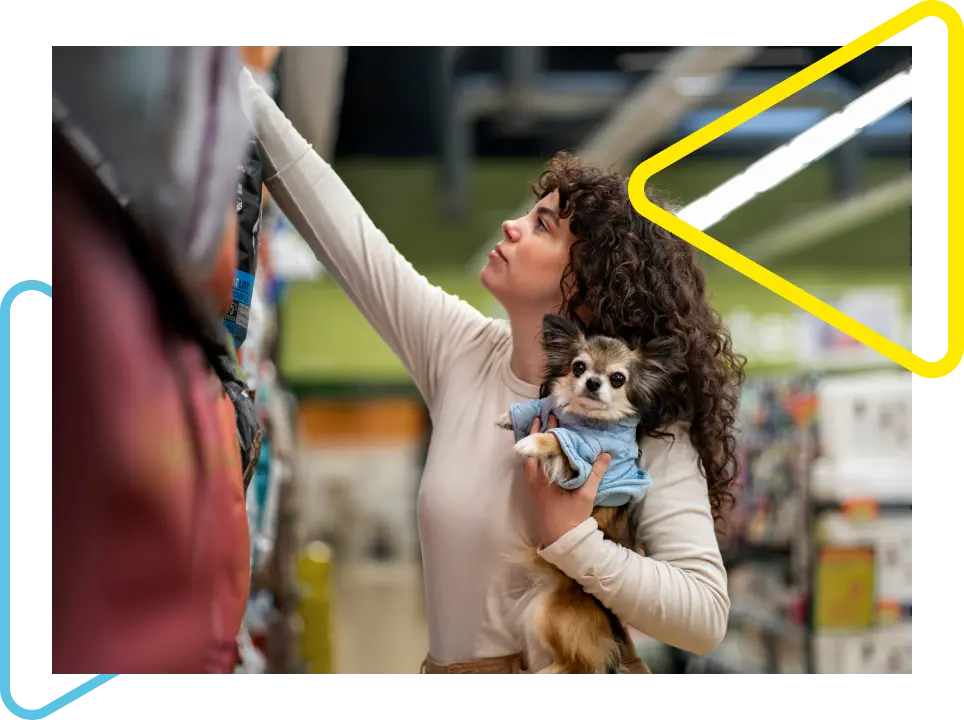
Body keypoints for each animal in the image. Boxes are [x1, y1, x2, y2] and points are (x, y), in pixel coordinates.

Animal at [500, 314, 680, 676]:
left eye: (617, 378)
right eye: (578, 367)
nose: (594, 382)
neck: (583, 418)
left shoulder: (583, 454)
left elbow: (558, 438)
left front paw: (531, 443)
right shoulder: (548, 409)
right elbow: (534, 407)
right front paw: (505, 418)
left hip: (550, 614)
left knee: (578, 663)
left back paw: (543, 674)